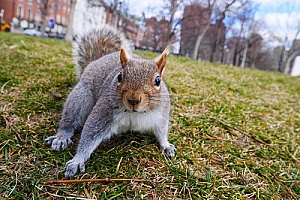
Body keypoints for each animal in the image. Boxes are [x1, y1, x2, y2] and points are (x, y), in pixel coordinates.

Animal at [44, 24, 176, 178]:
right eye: (119, 76)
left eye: (157, 81)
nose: (133, 99)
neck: (135, 113)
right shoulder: (104, 111)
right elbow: (90, 134)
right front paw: (78, 160)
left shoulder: (162, 114)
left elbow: (161, 131)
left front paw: (166, 145)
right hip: (80, 98)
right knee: (69, 120)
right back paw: (62, 137)